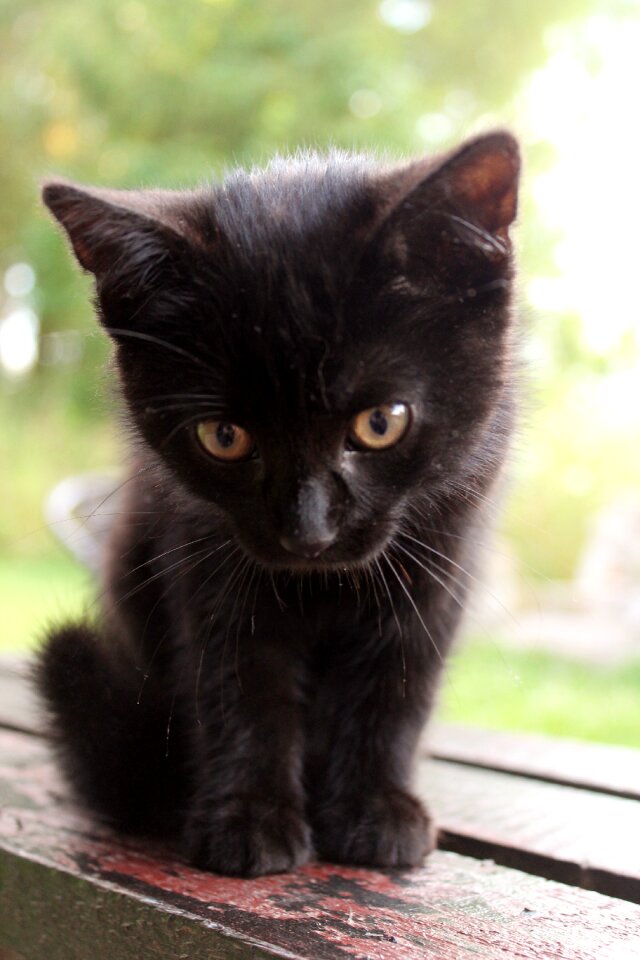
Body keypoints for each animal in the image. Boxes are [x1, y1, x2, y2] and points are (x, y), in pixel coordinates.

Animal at [36, 133, 520, 876]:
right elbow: (239, 685)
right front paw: (248, 819)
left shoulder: (445, 549)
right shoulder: (204, 552)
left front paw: (377, 811)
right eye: (224, 436)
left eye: (382, 423)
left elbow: (397, 685)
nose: (307, 532)